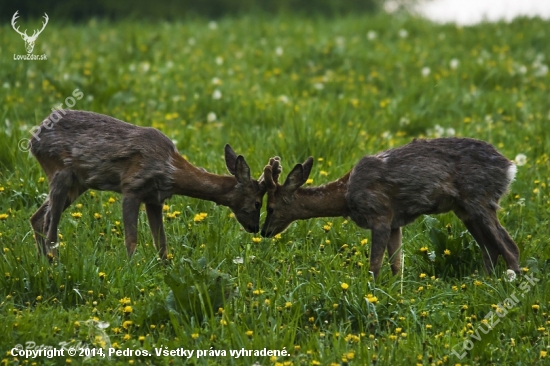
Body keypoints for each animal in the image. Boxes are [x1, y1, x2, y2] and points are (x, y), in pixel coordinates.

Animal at [30, 110, 280, 258]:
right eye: (258, 203)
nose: (255, 229)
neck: (171, 169)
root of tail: (34, 139)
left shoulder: (154, 199)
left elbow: (161, 243)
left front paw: (165, 271)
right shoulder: (131, 187)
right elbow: (131, 239)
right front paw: (131, 270)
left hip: (78, 183)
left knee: (37, 218)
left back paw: (44, 263)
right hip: (60, 172)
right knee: (50, 228)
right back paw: (54, 264)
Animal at [262, 137, 520, 278]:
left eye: (271, 207)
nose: (263, 231)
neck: (346, 196)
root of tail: (510, 167)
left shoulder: (380, 215)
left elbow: (375, 265)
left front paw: (371, 293)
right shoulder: (396, 223)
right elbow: (397, 265)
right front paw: (396, 293)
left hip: (480, 198)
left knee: (509, 246)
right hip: (464, 209)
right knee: (490, 248)